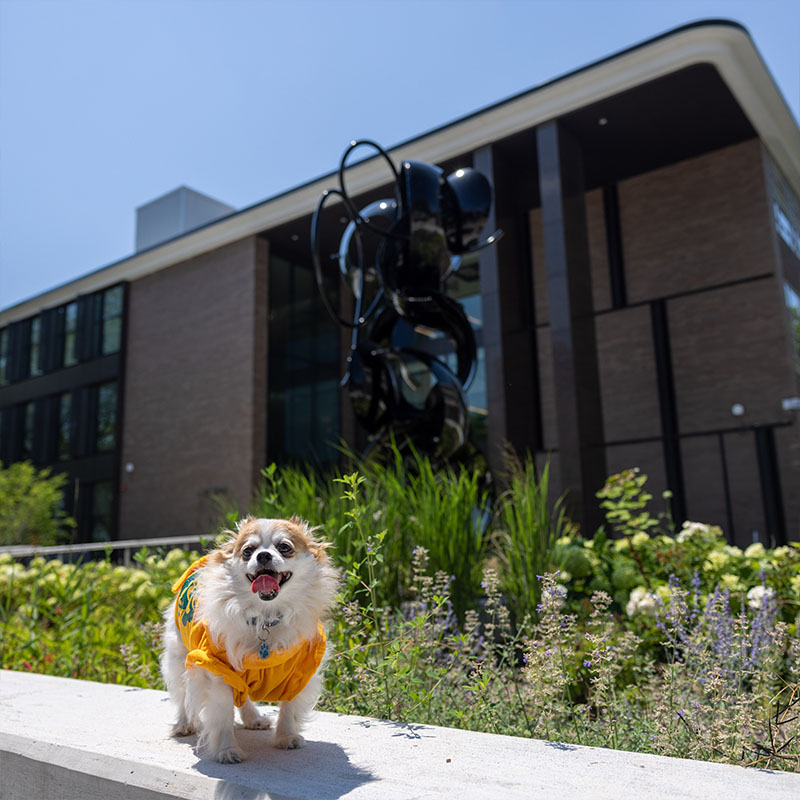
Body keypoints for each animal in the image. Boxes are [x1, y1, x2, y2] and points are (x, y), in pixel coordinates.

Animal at [161, 520, 340, 764]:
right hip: (179, 656)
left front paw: (286, 736)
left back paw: (253, 718)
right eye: (247, 551)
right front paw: (227, 750)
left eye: (284, 547)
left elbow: (289, 706)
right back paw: (183, 724)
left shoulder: (300, 670)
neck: (265, 617)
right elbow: (223, 714)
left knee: (242, 694)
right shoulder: (216, 669)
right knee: (182, 694)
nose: (263, 555)